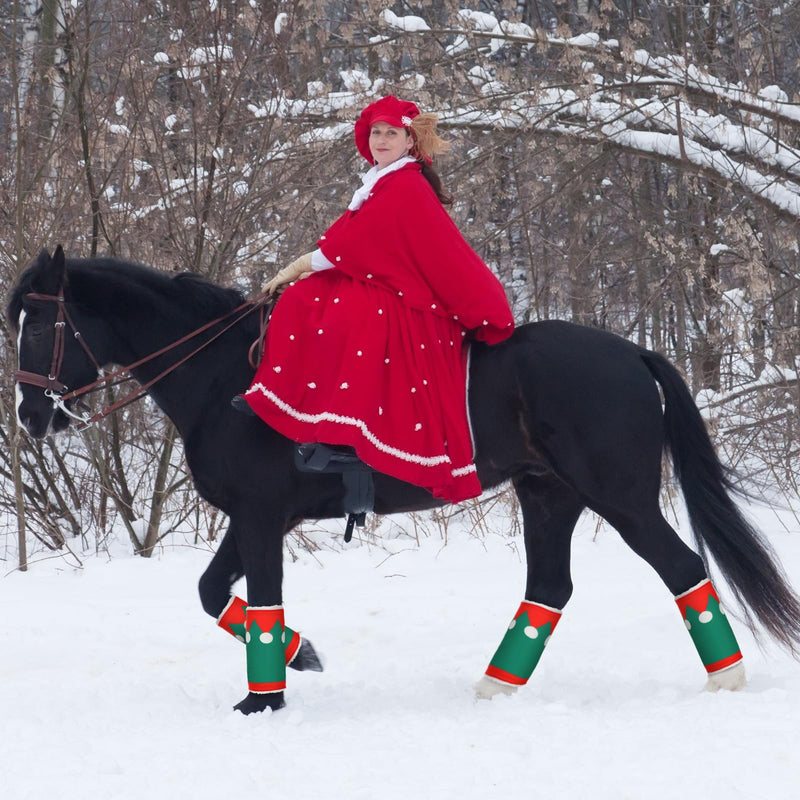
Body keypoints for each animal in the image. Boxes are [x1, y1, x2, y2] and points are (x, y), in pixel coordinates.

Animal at [9, 246, 800, 714]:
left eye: (39, 326)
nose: (30, 414)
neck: (224, 376)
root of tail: (634, 353)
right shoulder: (254, 517)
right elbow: (212, 595)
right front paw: (302, 653)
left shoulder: (260, 516)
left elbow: (257, 602)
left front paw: (264, 700)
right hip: (549, 496)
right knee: (549, 589)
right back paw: (495, 686)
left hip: (622, 498)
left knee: (684, 568)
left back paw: (725, 678)